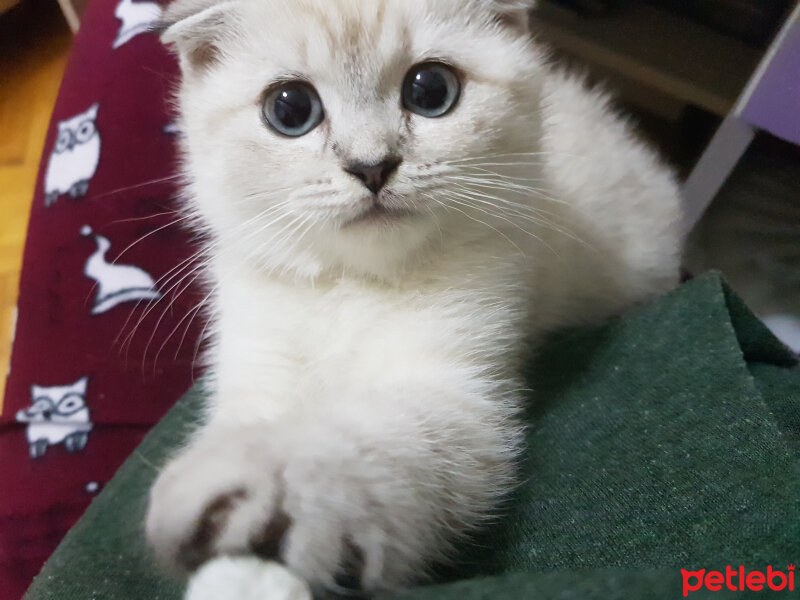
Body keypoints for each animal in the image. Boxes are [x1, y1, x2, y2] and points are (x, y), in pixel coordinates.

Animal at [147, 1, 684, 596]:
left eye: (430, 91)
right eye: (290, 109)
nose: (371, 166)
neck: (353, 285)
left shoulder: (457, 394)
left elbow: (360, 441)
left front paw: (260, 490)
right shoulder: (257, 368)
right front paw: (238, 574)